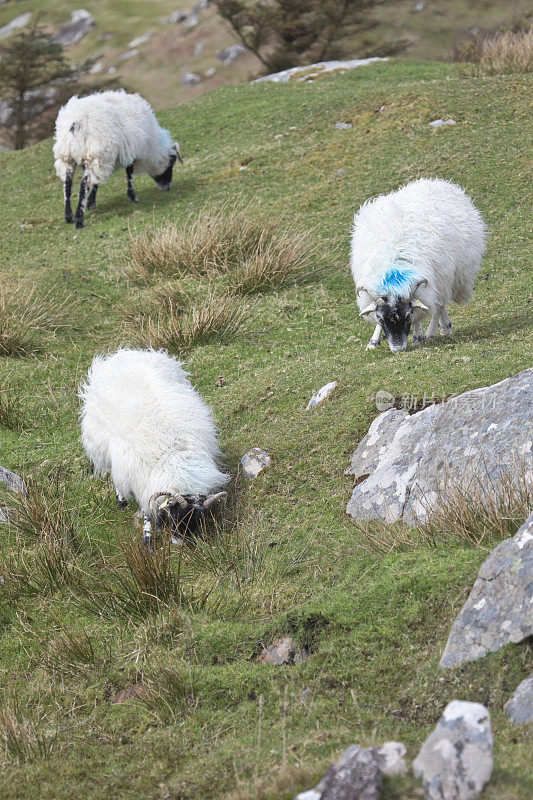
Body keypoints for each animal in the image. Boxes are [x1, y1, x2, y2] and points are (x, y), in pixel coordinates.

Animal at [53, 90, 183, 228]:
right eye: (171, 163)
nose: (167, 187)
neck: (151, 146)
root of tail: (75, 123)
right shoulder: (130, 151)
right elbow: (129, 174)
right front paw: (133, 197)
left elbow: (96, 183)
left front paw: (91, 203)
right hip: (94, 155)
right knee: (84, 185)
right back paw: (79, 220)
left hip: (66, 157)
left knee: (67, 184)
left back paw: (68, 216)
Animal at [79, 350, 229, 552]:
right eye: (175, 514)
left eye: (196, 520)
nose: (178, 542)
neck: (176, 457)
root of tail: (125, 353)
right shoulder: (141, 478)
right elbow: (146, 511)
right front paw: (148, 537)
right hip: (100, 439)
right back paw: (121, 499)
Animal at [350, 178, 486, 354]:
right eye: (380, 318)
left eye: (408, 316)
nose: (398, 350)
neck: (394, 271)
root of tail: (437, 182)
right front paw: (373, 341)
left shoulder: (432, 282)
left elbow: (427, 310)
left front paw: (420, 336)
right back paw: (444, 328)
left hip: (448, 275)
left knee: (439, 305)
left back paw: (434, 332)